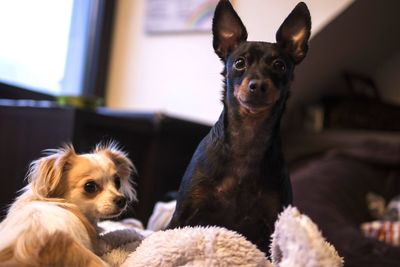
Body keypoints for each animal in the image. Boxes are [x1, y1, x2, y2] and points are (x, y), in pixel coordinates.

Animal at [167, 0, 310, 255]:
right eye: (239, 63)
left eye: (280, 66)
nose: (258, 84)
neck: (248, 138)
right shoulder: (183, 216)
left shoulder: (271, 226)